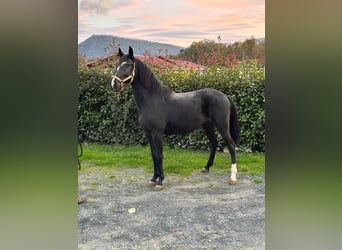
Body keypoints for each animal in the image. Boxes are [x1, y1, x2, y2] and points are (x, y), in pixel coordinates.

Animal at [111, 47, 239, 190]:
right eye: (117, 65)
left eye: (128, 65)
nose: (114, 84)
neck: (153, 99)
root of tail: (225, 96)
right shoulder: (148, 133)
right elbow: (153, 155)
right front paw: (153, 179)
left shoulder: (157, 133)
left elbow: (159, 155)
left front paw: (160, 181)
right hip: (208, 125)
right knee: (214, 143)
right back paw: (206, 167)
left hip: (222, 126)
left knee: (231, 146)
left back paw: (233, 177)